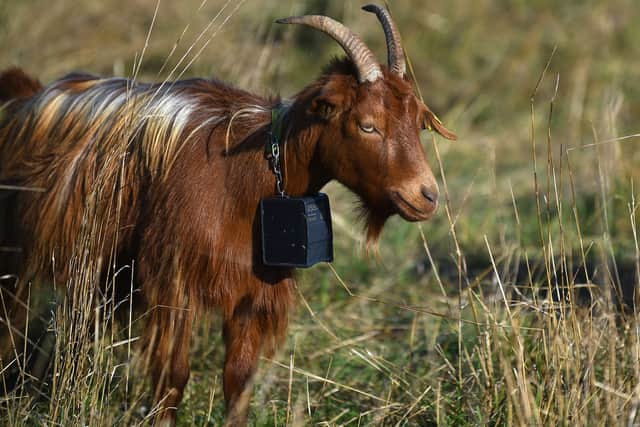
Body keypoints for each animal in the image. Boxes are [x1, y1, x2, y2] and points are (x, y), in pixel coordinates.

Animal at [0, 5, 455, 426]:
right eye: (367, 125)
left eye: (418, 122)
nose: (426, 195)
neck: (245, 179)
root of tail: (26, 96)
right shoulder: (173, 282)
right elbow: (172, 378)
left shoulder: (253, 293)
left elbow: (238, 380)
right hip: (17, 260)